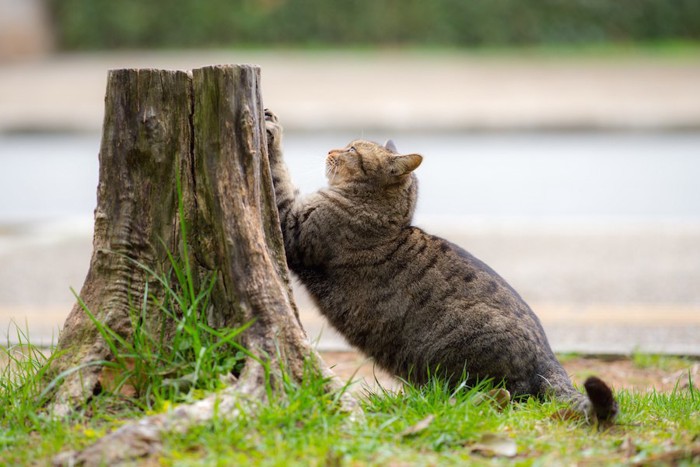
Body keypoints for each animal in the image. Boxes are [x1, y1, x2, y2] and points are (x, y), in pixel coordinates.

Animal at [264, 110, 616, 424]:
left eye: (352, 150)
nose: (330, 150)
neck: (387, 216)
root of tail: (550, 357)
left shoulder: (292, 225)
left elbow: (278, 175)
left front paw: (271, 128)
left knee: (505, 396)